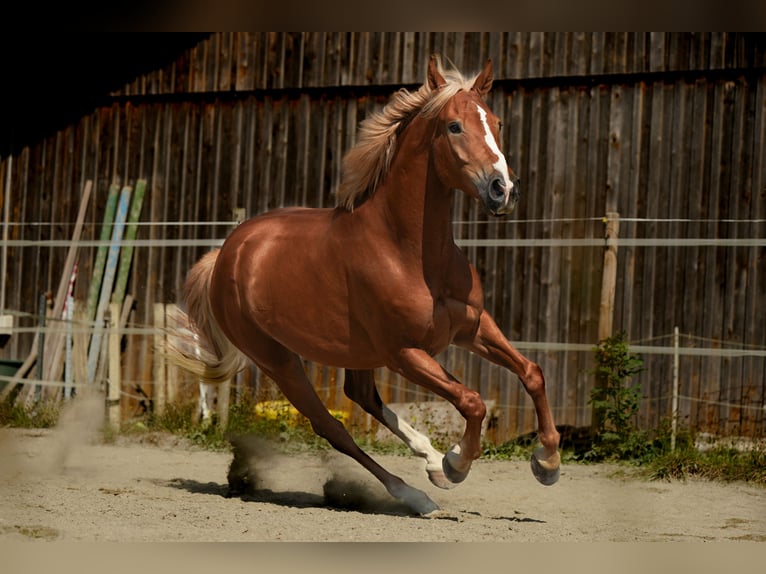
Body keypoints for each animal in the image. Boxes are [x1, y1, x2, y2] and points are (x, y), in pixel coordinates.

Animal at [171, 55, 560, 516]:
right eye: (453, 126)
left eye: (496, 122)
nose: (503, 190)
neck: (408, 253)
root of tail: (227, 253)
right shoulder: (404, 352)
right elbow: (472, 400)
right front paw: (456, 463)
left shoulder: (471, 327)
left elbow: (532, 372)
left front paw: (547, 462)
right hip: (278, 359)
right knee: (331, 426)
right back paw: (416, 493)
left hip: (355, 353)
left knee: (361, 395)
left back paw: (429, 460)